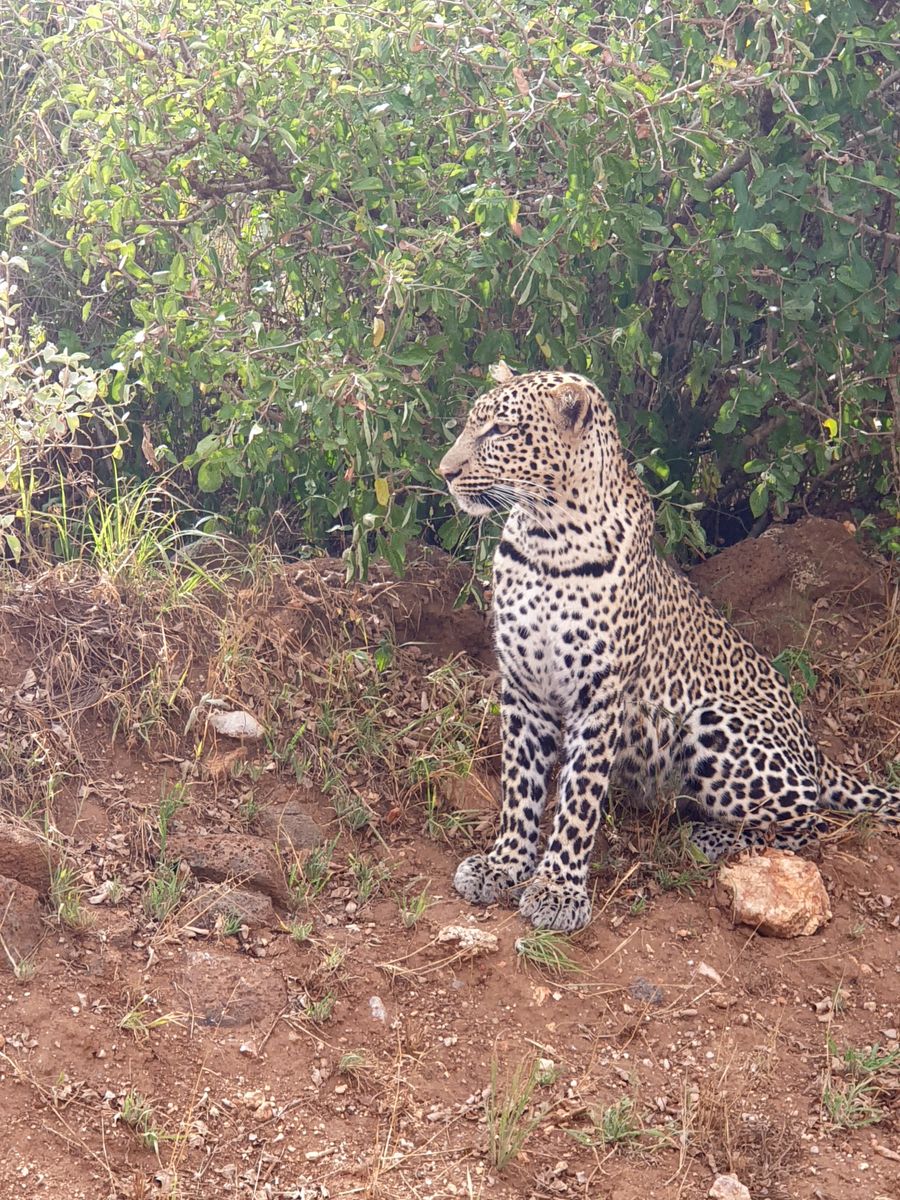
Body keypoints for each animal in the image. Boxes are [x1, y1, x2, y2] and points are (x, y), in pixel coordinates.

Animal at [437, 368, 899, 933]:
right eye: (473, 425)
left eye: (500, 431)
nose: (445, 472)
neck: (548, 539)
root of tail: (813, 749)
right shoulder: (524, 688)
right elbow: (520, 786)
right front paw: (504, 864)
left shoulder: (600, 697)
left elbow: (577, 800)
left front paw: (558, 890)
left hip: (714, 724)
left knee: (809, 822)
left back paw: (709, 835)